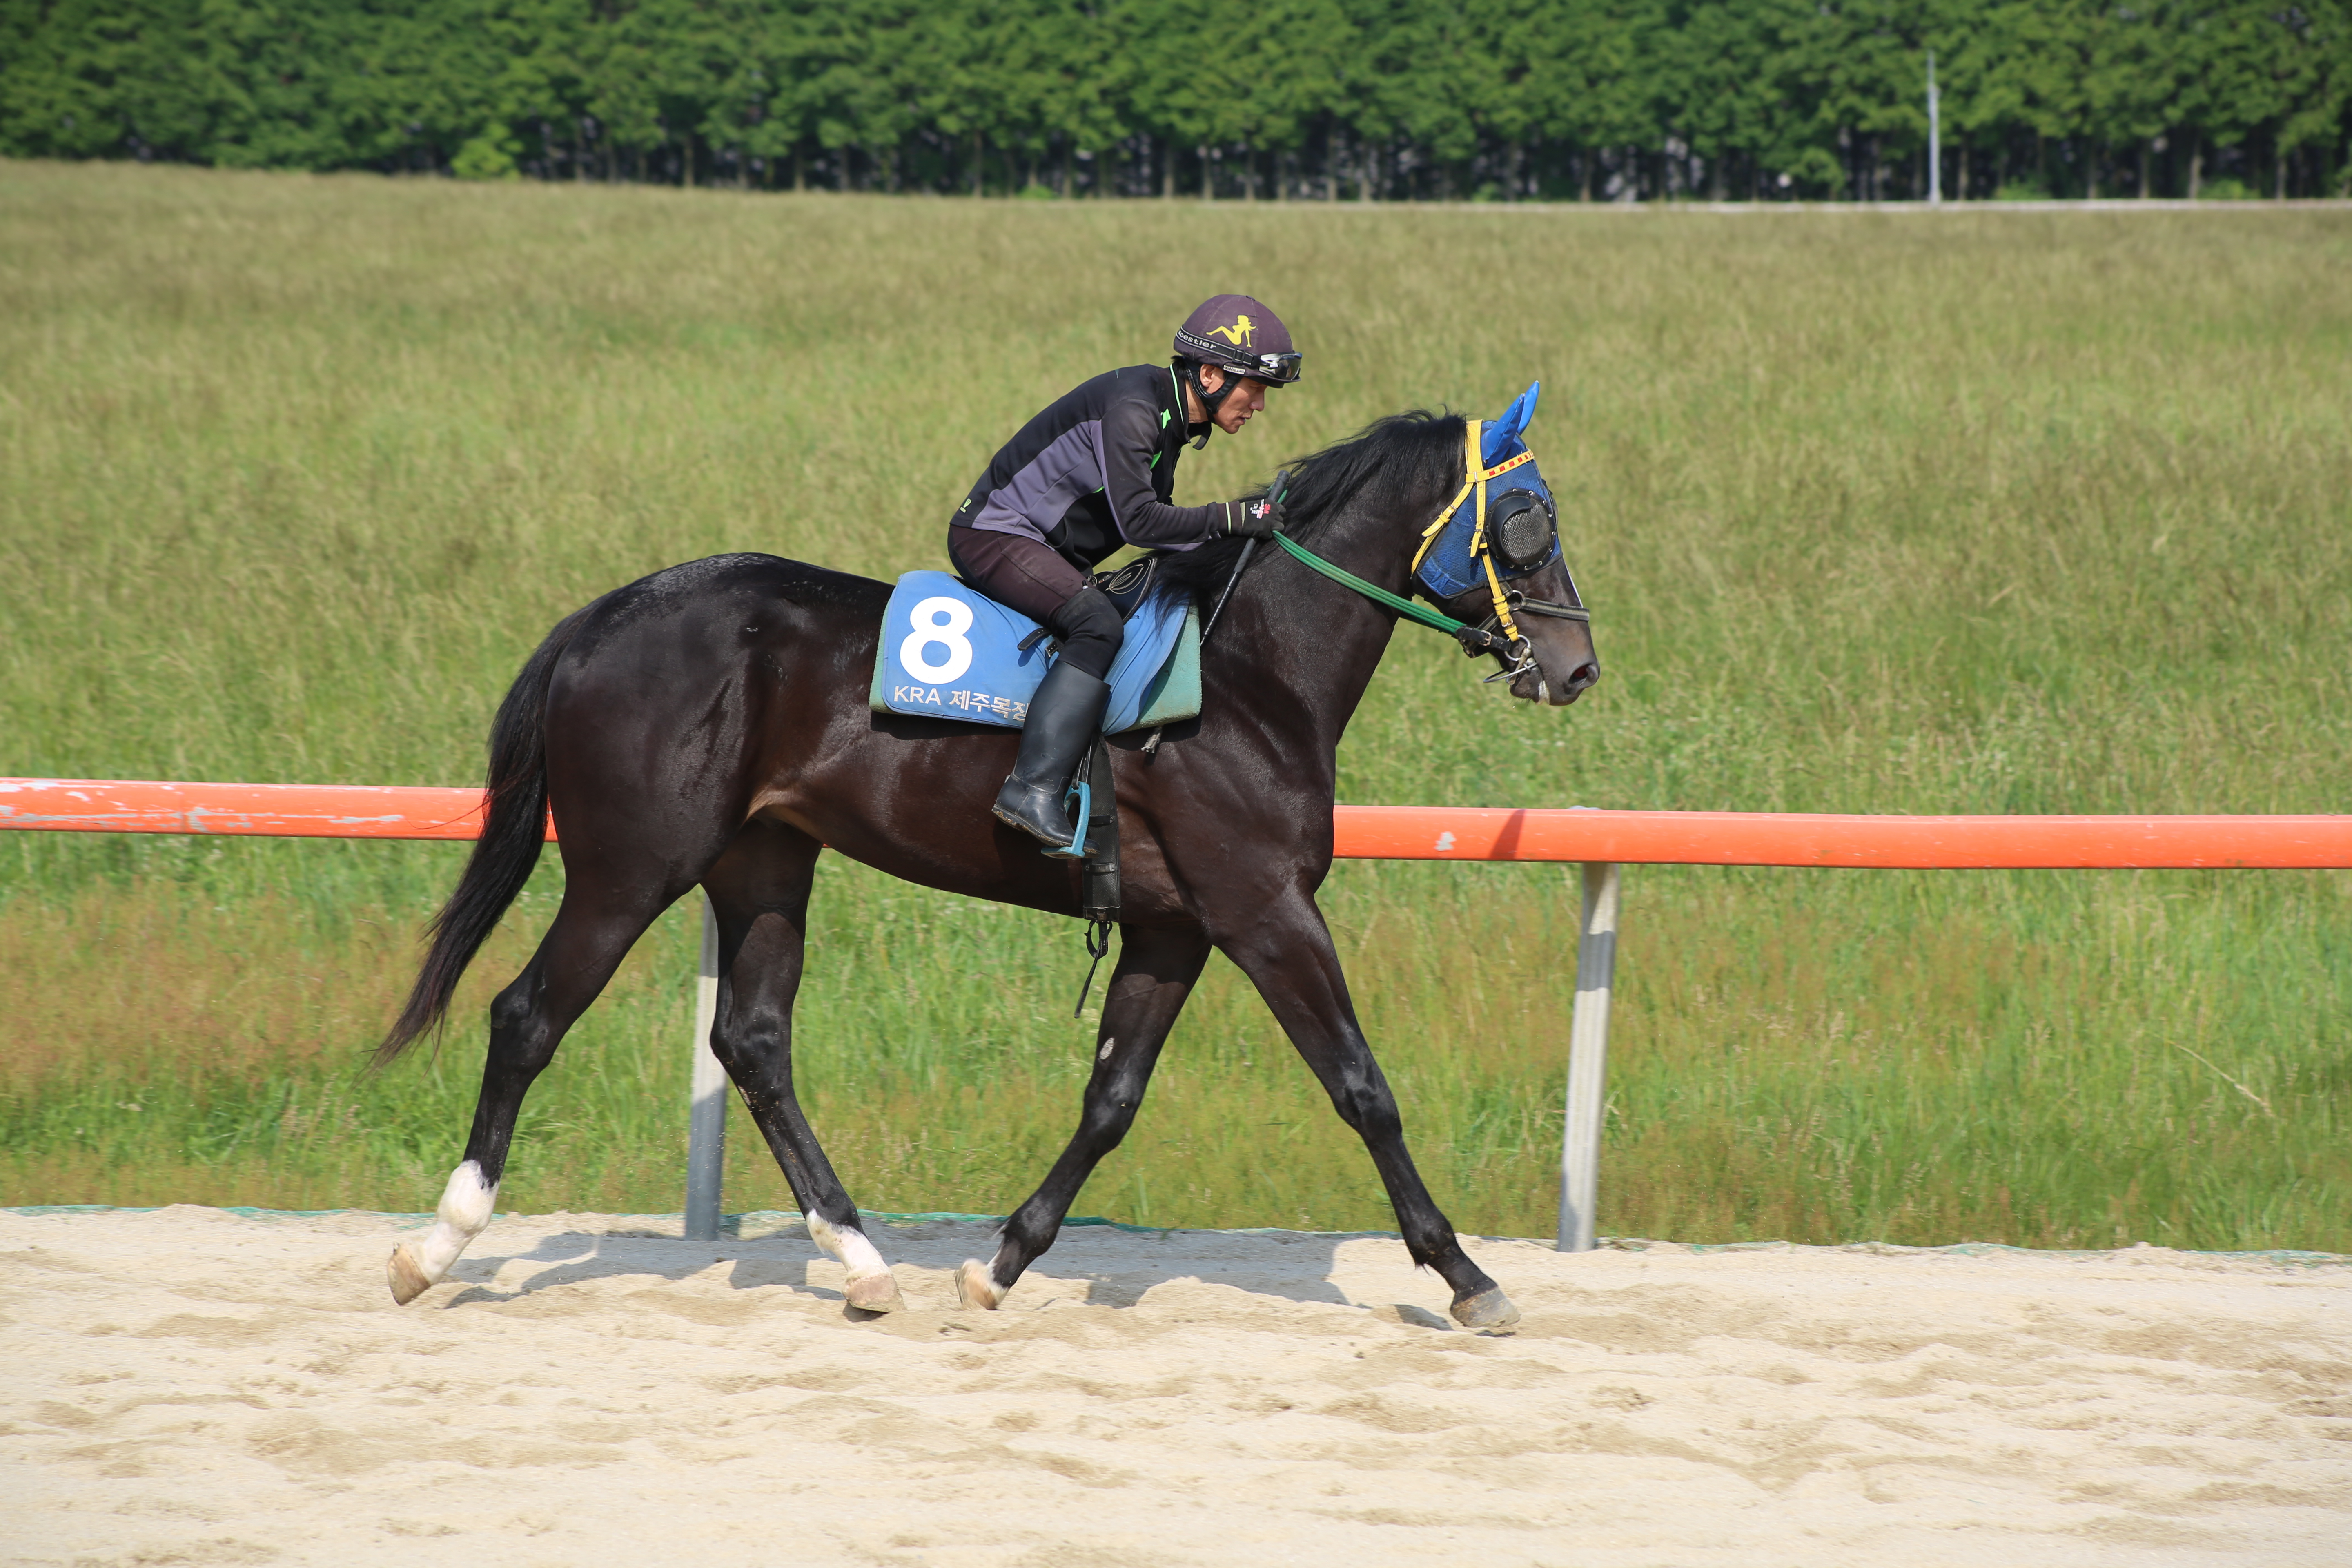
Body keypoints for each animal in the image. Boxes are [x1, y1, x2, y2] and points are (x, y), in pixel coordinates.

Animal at [376, 399, 1599, 1335]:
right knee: (528, 1016)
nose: (1578, 666)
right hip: (631, 868)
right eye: (1527, 520)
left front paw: (1000, 1262)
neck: (1247, 675)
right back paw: (436, 1248)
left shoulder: (1174, 928)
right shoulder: (1264, 910)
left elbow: (1110, 1099)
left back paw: (864, 1262)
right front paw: (1468, 1278)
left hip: (762, 862)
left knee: (754, 1044)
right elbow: (1362, 1088)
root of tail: (599, 617)